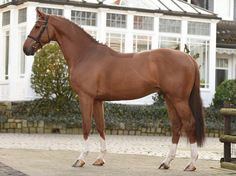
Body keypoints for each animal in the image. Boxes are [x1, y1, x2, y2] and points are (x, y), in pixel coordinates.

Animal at [23, 8, 205, 171]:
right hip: (169, 98)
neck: (85, 54)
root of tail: (189, 58)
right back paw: (166, 162)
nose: (26, 49)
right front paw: (100, 159)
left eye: (37, 26)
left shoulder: (85, 97)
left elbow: (86, 125)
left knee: (189, 123)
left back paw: (191, 164)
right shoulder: (97, 100)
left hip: (179, 99)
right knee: (176, 126)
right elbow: (100, 126)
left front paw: (81, 159)